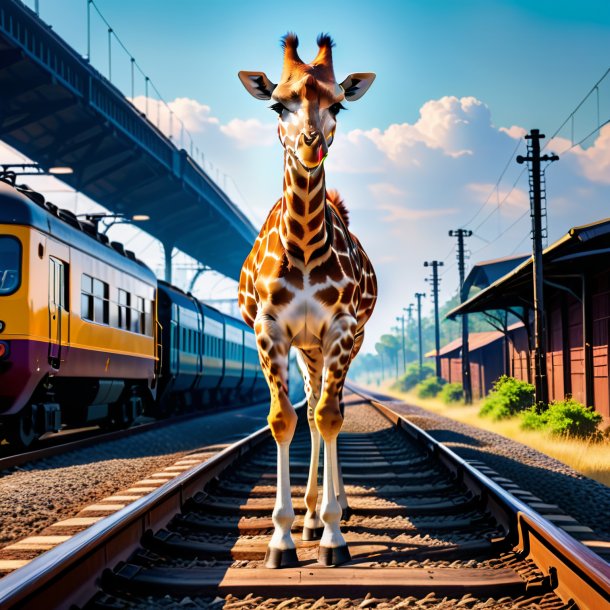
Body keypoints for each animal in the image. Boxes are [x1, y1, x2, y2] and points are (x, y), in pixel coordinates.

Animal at [238, 32, 376, 564]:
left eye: (338, 104)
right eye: (279, 103)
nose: (311, 144)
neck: (303, 244)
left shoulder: (340, 328)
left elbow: (331, 416)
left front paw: (334, 536)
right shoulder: (270, 329)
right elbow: (284, 419)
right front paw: (282, 539)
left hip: (339, 345)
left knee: (324, 411)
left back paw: (327, 513)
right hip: (306, 350)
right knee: (312, 408)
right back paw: (311, 517)